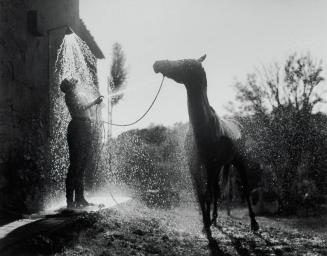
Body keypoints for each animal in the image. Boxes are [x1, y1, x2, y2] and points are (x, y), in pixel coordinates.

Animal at [153, 54, 258, 240]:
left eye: (185, 63)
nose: (157, 64)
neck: (204, 128)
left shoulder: (211, 165)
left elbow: (208, 193)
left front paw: (207, 226)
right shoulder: (195, 166)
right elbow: (201, 194)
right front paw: (205, 223)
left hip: (238, 162)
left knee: (244, 189)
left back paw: (253, 224)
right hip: (221, 166)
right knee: (217, 190)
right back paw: (214, 219)